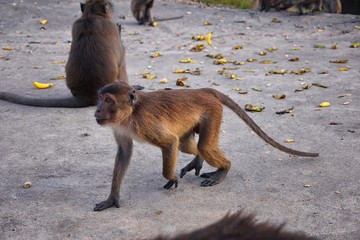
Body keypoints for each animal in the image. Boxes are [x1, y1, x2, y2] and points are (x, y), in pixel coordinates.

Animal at [93, 81, 318, 211]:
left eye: (108, 100)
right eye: (100, 98)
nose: (96, 110)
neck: (130, 114)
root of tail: (204, 90)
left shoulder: (144, 123)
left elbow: (169, 142)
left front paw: (170, 177)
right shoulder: (120, 128)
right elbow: (124, 153)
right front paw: (112, 198)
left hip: (212, 111)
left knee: (203, 146)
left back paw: (223, 170)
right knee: (188, 145)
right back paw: (198, 160)